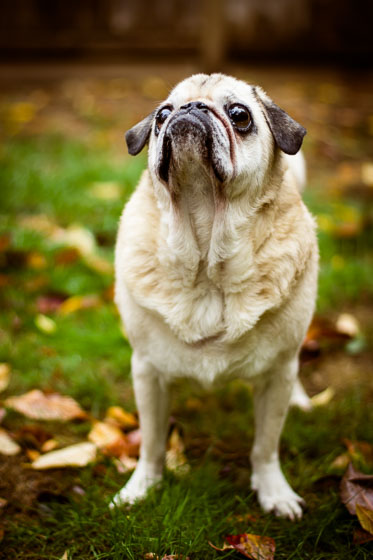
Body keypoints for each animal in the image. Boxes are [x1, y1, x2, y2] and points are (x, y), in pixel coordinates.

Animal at [113, 72, 316, 520]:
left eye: (239, 115)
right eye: (162, 116)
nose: (190, 110)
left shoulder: (276, 376)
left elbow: (265, 446)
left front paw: (273, 491)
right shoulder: (147, 372)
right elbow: (151, 442)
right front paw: (142, 487)